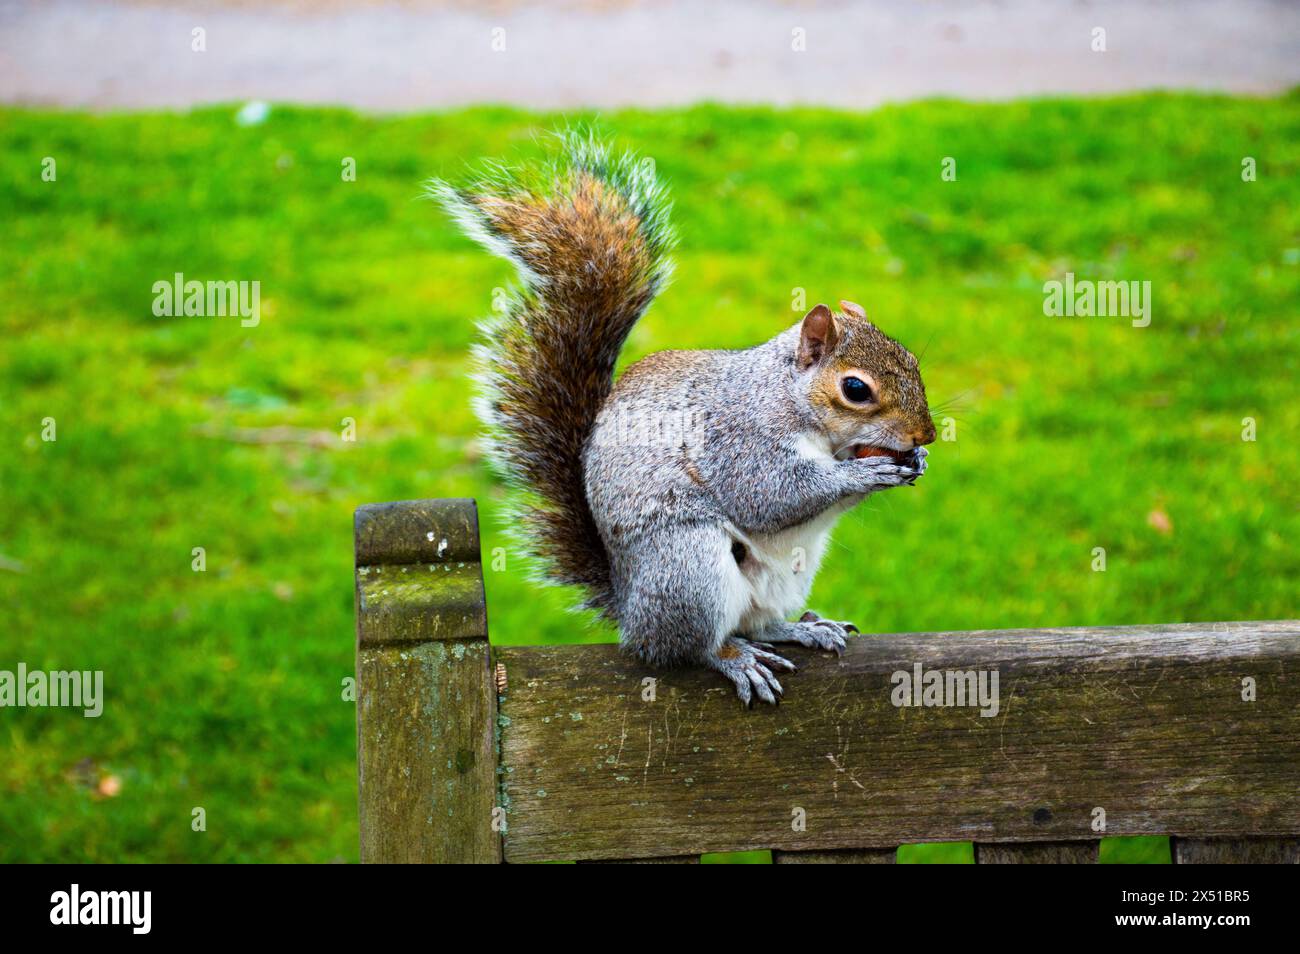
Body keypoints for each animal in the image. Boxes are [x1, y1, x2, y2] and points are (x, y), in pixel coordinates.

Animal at [432, 131, 936, 705]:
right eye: (855, 389)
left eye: (912, 361)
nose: (927, 433)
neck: (787, 399)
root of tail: (631, 612)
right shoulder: (737, 437)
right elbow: (770, 496)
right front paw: (865, 473)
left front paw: (914, 459)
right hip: (687, 565)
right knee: (692, 647)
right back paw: (735, 660)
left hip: (784, 575)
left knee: (758, 622)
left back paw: (802, 628)